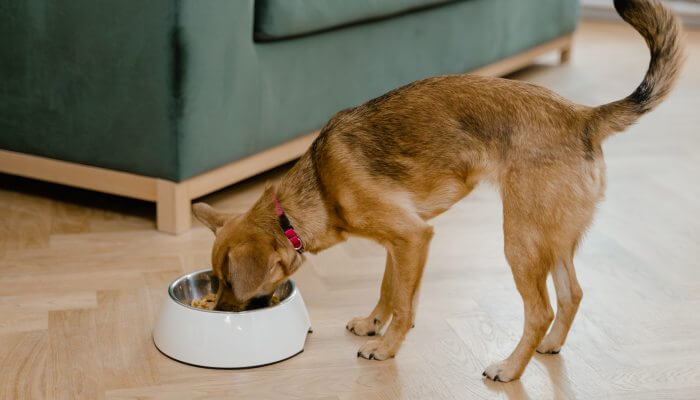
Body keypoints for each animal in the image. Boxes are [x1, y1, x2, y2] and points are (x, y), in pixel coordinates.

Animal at [191, 0, 684, 382]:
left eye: (230, 281)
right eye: (216, 281)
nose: (222, 312)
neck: (313, 192)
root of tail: (583, 116)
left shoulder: (412, 237)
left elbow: (405, 305)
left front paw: (386, 348)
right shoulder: (400, 243)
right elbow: (389, 289)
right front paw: (372, 324)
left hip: (520, 240)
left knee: (540, 310)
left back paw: (509, 369)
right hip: (554, 237)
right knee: (572, 294)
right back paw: (550, 346)